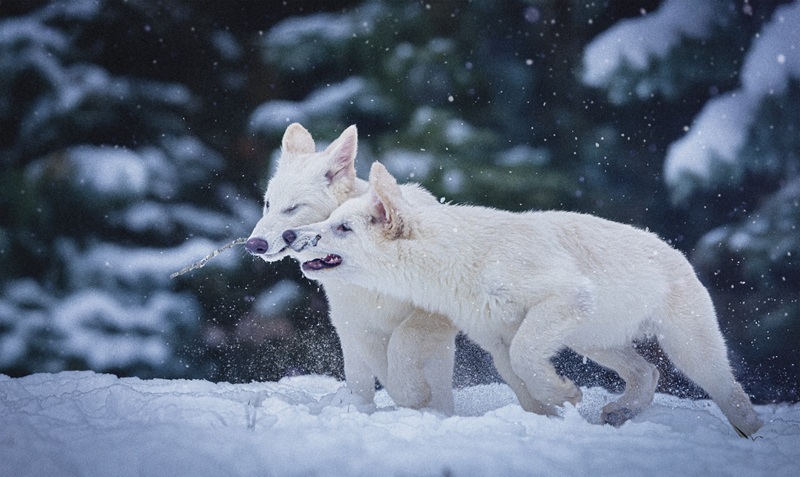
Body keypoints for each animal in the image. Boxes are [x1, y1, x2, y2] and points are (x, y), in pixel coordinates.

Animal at [245, 124, 457, 413]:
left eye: (292, 208)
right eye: (268, 204)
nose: (254, 244)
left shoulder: (431, 315)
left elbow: (403, 341)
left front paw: (415, 398)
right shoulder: (356, 326)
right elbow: (377, 370)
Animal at [283, 161, 763, 437]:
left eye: (342, 228)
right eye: (330, 219)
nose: (291, 236)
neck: (458, 259)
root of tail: (675, 250)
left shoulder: (559, 298)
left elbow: (527, 357)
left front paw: (565, 394)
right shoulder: (494, 338)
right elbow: (518, 376)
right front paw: (550, 414)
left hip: (686, 345)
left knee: (726, 386)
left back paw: (749, 430)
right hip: (594, 340)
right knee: (647, 372)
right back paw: (620, 412)